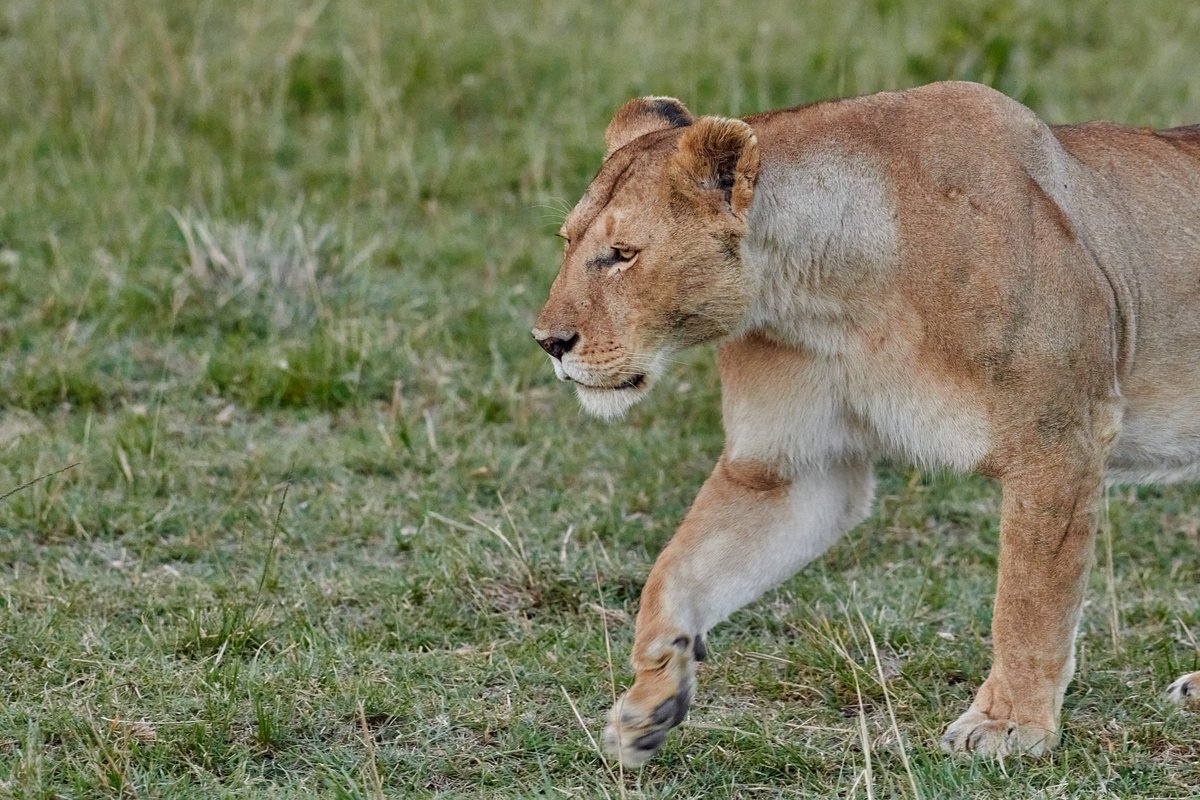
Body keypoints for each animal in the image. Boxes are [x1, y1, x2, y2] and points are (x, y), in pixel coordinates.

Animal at [532, 81, 1200, 766]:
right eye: (567, 241)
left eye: (623, 255)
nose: (548, 342)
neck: (825, 295)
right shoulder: (792, 472)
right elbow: (675, 573)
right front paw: (649, 702)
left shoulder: (1060, 437)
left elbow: (1028, 597)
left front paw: (1009, 725)